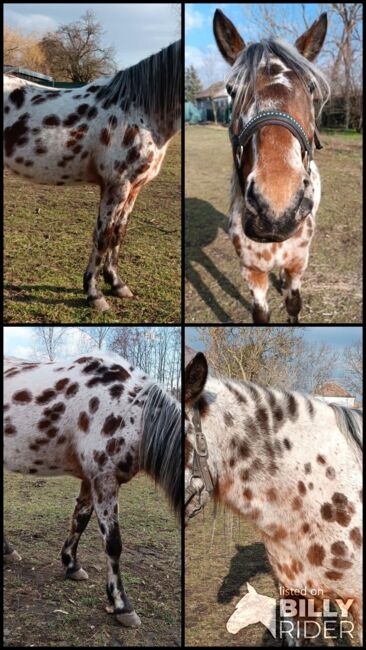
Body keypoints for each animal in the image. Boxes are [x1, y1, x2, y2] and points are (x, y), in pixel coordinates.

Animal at [2, 39, 180, 308]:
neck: (138, 111)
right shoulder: (116, 185)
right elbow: (103, 236)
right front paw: (94, 293)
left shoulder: (133, 188)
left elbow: (119, 233)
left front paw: (117, 284)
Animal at [2, 352, 180, 624]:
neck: (128, 411)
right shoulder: (104, 480)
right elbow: (113, 543)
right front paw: (121, 605)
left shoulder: (90, 479)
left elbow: (80, 520)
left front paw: (71, 565)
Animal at [213, 8, 330, 322]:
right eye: (232, 90)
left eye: (310, 87)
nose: (276, 206)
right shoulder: (252, 270)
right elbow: (260, 315)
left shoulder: (297, 263)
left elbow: (293, 304)